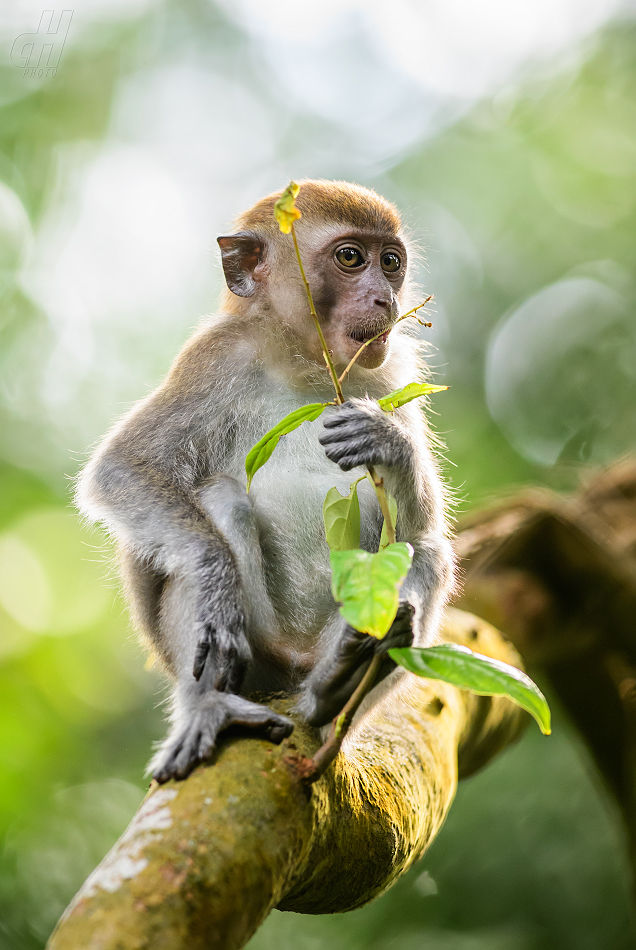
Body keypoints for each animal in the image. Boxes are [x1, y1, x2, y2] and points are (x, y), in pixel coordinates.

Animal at [77, 180, 454, 788]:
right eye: (352, 258)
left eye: (391, 263)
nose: (385, 300)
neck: (307, 362)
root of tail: (293, 663)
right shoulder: (216, 355)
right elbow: (122, 468)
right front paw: (214, 583)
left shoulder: (392, 371)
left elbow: (422, 524)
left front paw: (390, 440)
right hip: (258, 657)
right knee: (218, 503)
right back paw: (213, 701)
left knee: (424, 552)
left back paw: (332, 686)